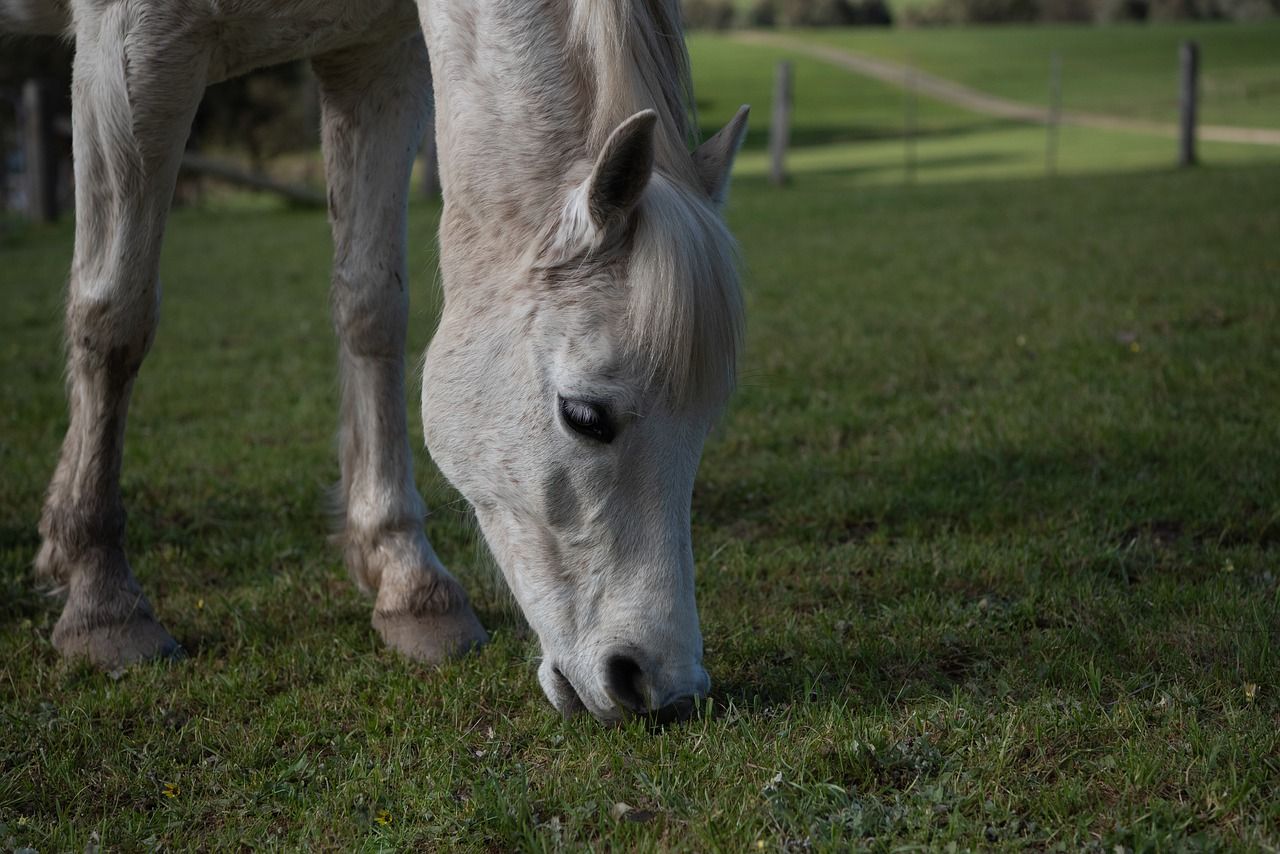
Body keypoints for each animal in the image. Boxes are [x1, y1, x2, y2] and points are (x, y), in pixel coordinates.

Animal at [7, 0, 747, 727]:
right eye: (586, 416)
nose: (663, 687)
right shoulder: (129, 50)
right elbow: (115, 318)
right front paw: (102, 601)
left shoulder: (375, 60)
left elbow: (371, 307)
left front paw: (406, 579)